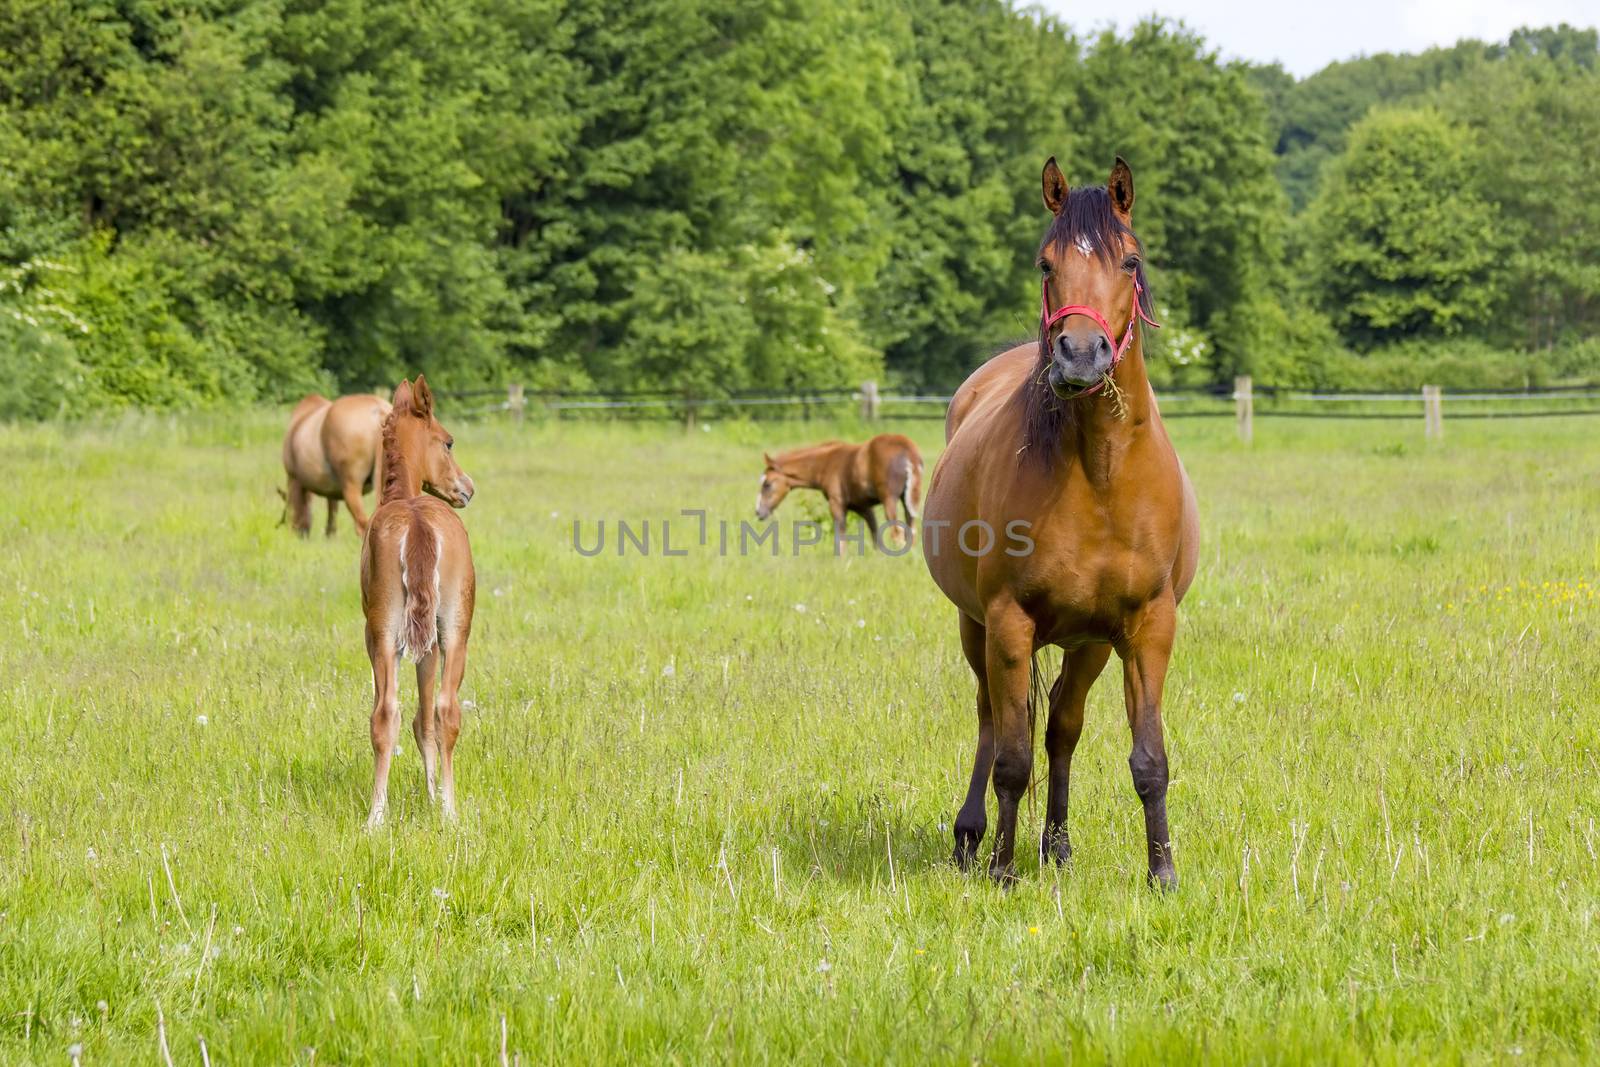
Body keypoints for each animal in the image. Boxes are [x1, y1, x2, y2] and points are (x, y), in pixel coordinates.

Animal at [283, 391, 392, 537]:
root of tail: (380, 412)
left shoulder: (293, 479)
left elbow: (295, 511)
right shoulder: (331, 491)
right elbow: (331, 519)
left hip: (351, 486)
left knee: (362, 524)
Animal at [758, 435, 928, 550]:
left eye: (767, 484)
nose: (759, 512)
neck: (825, 463)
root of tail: (909, 451)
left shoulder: (837, 503)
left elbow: (841, 538)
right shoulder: (863, 507)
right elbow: (875, 535)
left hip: (889, 499)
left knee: (897, 533)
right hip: (908, 501)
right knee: (911, 531)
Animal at [921, 158, 1196, 889]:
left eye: (1130, 260)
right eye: (1047, 263)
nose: (1079, 355)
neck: (1100, 476)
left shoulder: (1147, 628)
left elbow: (1148, 759)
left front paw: (1162, 875)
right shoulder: (1009, 622)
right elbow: (1013, 759)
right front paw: (1001, 870)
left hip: (1088, 643)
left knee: (1063, 729)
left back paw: (1059, 846)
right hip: (977, 629)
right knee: (992, 721)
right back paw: (971, 837)